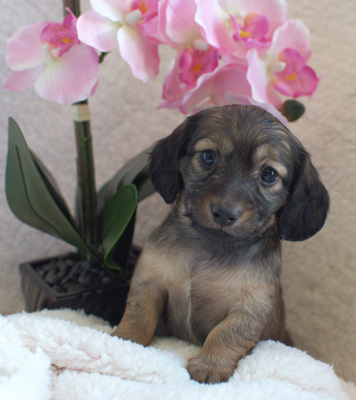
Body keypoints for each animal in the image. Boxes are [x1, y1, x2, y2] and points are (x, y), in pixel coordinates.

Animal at [112, 104, 330, 382]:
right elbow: (138, 315)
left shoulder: (248, 309)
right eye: (208, 156)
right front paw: (124, 341)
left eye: (269, 174)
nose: (225, 213)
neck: (207, 247)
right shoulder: (149, 281)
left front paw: (210, 366)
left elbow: (225, 335)